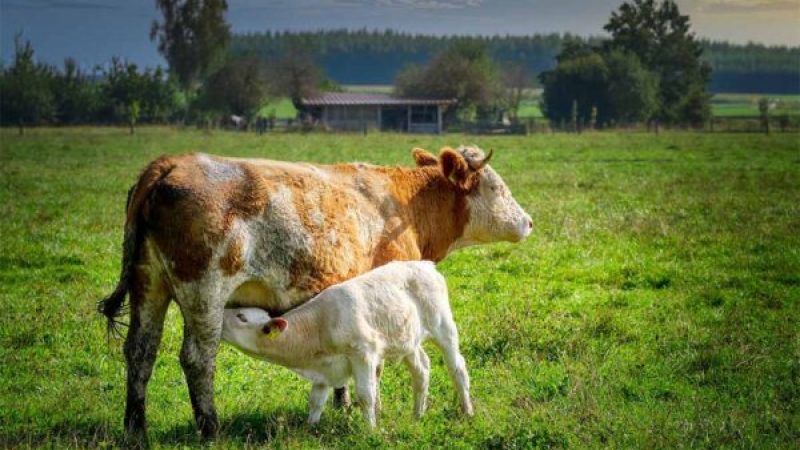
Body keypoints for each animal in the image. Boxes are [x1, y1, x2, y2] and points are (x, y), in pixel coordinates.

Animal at [98, 145, 532, 439]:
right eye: (496, 187)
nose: (528, 221)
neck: (404, 205)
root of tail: (172, 162)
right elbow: (374, 373)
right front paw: (370, 411)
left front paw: (342, 405)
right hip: (204, 294)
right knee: (197, 359)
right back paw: (210, 429)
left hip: (148, 287)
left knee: (140, 351)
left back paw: (135, 429)